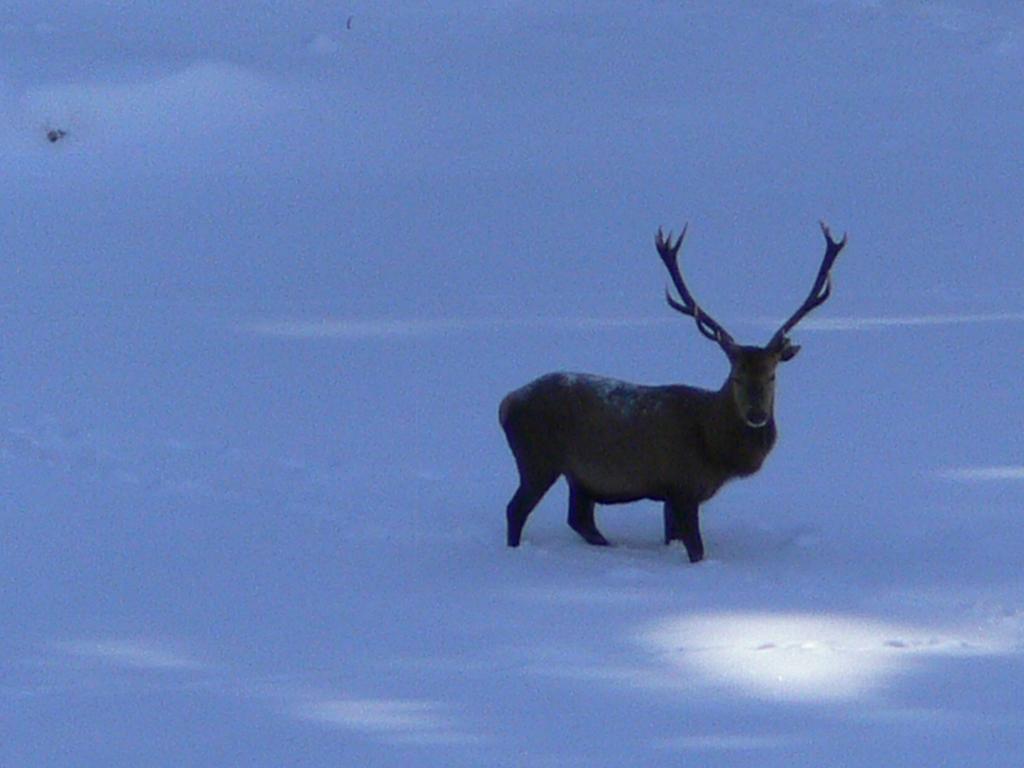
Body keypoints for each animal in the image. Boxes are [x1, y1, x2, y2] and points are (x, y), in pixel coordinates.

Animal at [497, 222, 847, 565]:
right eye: (735, 376)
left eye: (771, 375)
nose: (757, 415)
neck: (715, 447)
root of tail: (506, 403)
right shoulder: (683, 485)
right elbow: (696, 550)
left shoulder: (671, 494)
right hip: (537, 458)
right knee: (516, 510)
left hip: (578, 476)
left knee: (580, 519)